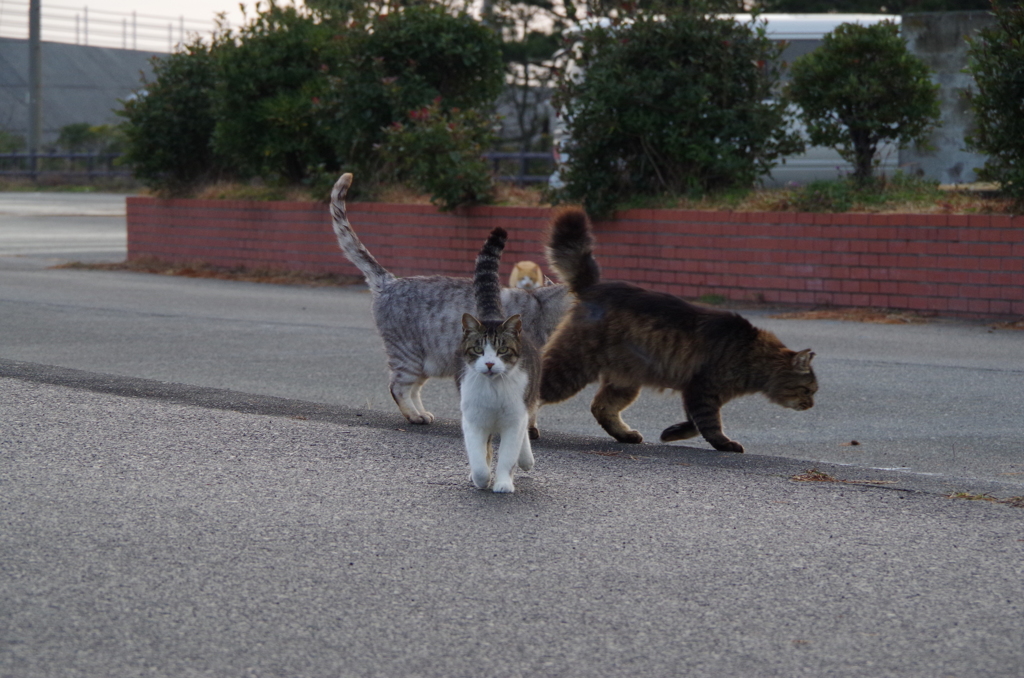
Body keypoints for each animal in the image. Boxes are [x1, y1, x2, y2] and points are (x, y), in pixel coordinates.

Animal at [327, 173, 569, 432]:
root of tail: (389, 281)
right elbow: (527, 408)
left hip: (424, 362)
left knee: (413, 389)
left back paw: (421, 413)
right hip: (408, 356)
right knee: (398, 387)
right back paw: (414, 416)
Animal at [460, 228, 540, 493]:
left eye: (502, 349)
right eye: (478, 348)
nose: (489, 364)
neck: (493, 389)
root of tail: (494, 316)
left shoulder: (513, 421)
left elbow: (507, 456)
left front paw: (504, 482)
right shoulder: (473, 421)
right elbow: (479, 459)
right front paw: (480, 478)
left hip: (529, 398)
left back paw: (526, 459)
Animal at [540, 206, 819, 450]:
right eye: (807, 390)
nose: (811, 405)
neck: (750, 352)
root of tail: (594, 286)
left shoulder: (693, 391)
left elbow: (693, 424)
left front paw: (671, 433)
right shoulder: (702, 390)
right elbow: (708, 424)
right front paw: (723, 444)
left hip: (625, 381)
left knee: (600, 407)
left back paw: (626, 435)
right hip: (573, 368)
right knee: (537, 390)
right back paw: (532, 431)